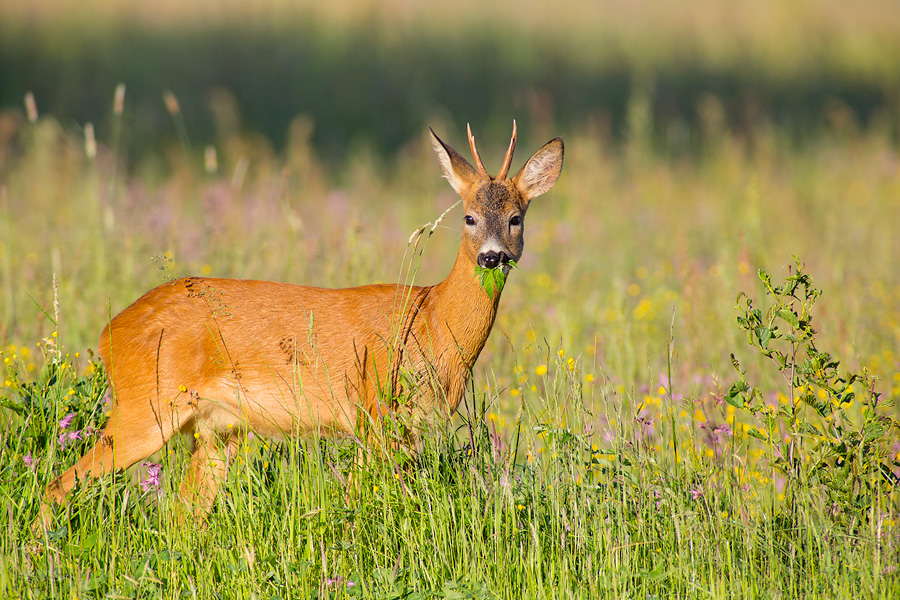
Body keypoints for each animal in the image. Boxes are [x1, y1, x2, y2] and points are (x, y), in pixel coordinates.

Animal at [42, 123, 568, 524]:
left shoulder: (404, 426)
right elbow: (365, 501)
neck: (432, 319)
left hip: (216, 431)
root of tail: (109, 333)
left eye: (516, 218)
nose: (493, 256)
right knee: (60, 485)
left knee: (182, 518)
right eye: (469, 217)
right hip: (147, 405)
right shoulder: (375, 411)